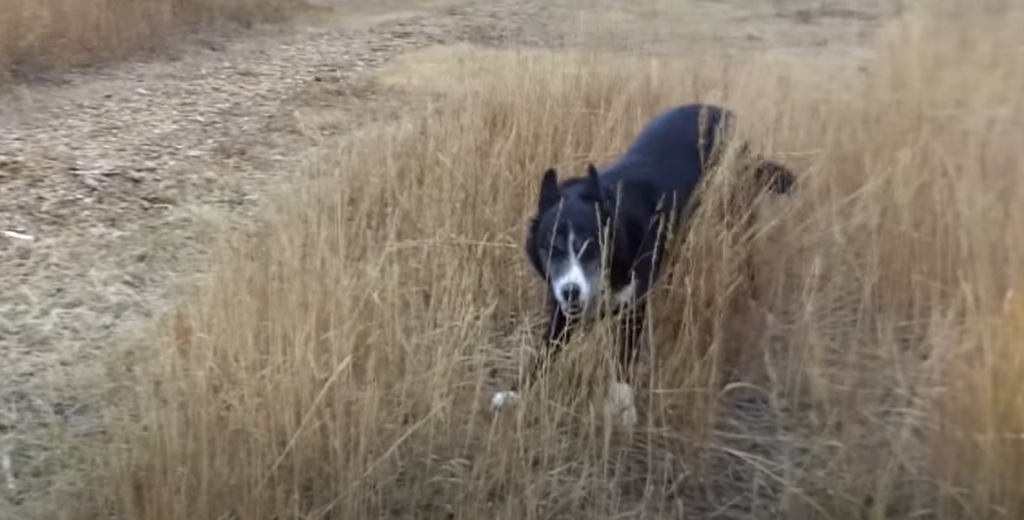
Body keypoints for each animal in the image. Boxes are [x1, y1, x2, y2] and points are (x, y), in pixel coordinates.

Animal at [491, 103, 794, 423]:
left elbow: (623, 359)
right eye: (551, 248)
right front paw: (515, 392)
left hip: (731, 210)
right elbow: (546, 351)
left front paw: (623, 409)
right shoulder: (562, 311)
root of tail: (718, 110)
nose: (571, 291)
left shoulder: (632, 308)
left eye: (592, 246)